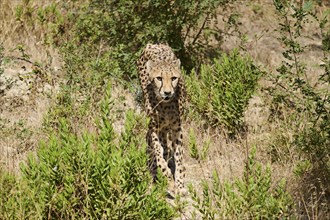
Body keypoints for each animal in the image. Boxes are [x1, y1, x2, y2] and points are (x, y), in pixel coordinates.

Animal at [137, 43, 186, 196]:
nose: (167, 92)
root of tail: (155, 44)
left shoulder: (177, 129)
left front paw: (180, 185)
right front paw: (169, 180)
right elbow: (158, 155)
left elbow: (179, 157)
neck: (166, 105)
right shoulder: (154, 128)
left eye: (174, 78)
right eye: (159, 78)